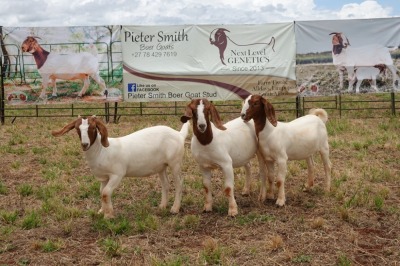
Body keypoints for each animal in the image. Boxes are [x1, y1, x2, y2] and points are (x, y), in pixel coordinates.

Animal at [52, 116, 190, 218]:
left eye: (93, 128)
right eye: (77, 128)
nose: (85, 144)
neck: (102, 151)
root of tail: (179, 134)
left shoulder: (117, 174)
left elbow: (106, 193)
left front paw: (109, 215)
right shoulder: (104, 177)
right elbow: (101, 192)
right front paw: (102, 211)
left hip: (175, 162)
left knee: (179, 183)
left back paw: (174, 208)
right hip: (161, 166)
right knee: (165, 184)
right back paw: (162, 206)